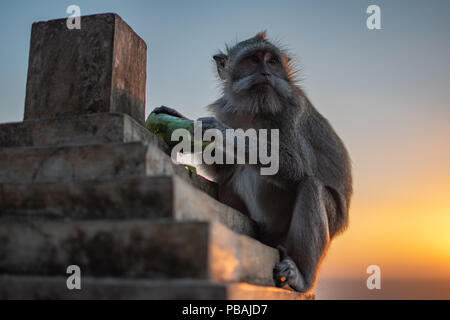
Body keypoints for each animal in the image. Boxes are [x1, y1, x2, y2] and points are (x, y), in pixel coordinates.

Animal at [153, 31, 354, 292]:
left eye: (272, 61)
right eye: (254, 59)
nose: (266, 73)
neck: (255, 107)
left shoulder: (290, 113)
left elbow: (295, 166)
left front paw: (218, 130)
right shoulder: (230, 111)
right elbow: (223, 168)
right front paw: (178, 122)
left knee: (311, 186)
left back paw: (302, 277)